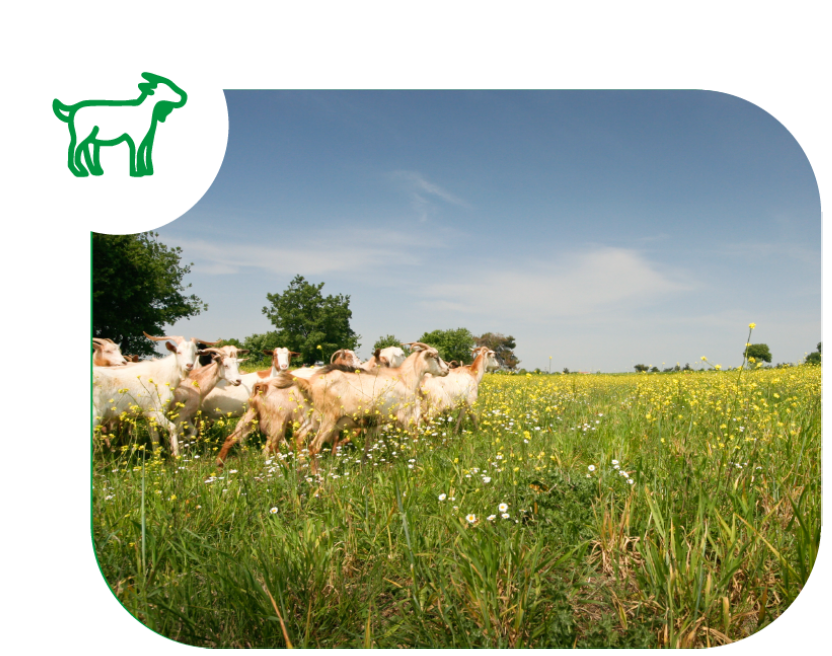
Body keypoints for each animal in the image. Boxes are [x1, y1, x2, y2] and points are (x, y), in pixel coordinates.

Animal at [53, 72, 187, 178]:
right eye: (166, 88)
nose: (181, 97)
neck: (143, 111)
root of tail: (73, 109)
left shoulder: (145, 136)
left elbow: (143, 151)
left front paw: (144, 171)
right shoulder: (136, 136)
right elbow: (137, 151)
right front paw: (137, 172)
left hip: (91, 135)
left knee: (84, 148)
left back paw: (93, 170)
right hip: (82, 132)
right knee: (75, 148)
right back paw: (80, 171)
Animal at [233, 343, 449, 472]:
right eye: (436, 356)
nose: (447, 369)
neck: (405, 378)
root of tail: (310, 384)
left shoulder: (374, 423)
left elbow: (369, 445)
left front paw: (365, 465)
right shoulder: (405, 416)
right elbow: (413, 439)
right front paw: (414, 460)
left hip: (313, 418)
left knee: (299, 437)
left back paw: (302, 468)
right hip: (328, 420)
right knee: (313, 446)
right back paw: (316, 475)